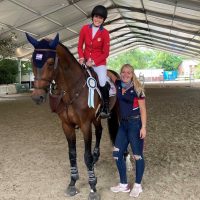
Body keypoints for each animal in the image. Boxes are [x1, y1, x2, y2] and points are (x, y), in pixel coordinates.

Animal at [24, 33, 119, 200]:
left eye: (50, 63)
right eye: (32, 62)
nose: (37, 97)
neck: (72, 89)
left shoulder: (85, 125)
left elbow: (86, 156)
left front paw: (93, 187)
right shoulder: (66, 125)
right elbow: (72, 154)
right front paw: (72, 183)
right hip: (96, 118)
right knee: (99, 131)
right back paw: (96, 156)